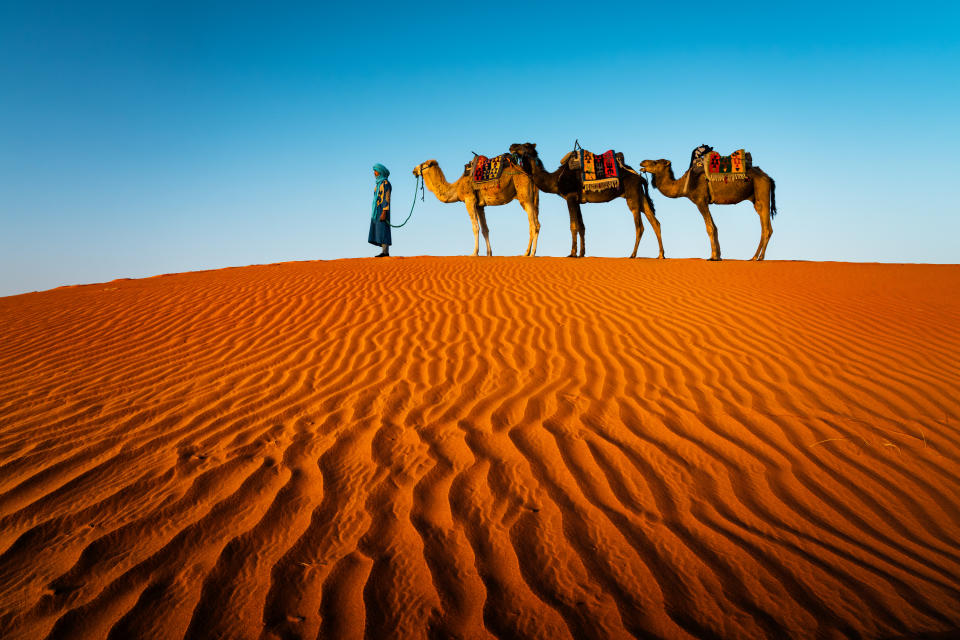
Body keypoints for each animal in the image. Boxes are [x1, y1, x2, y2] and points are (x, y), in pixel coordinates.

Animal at [412, 155, 540, 255]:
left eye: (424, 164)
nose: (413, 170)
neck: (457, 186)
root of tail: (530, 176)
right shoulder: (479, 206)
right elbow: (485, 229)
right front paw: (489, 253)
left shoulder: (469, 199)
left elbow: (475, 227)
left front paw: (474, 253)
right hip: (530, 198)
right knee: (537, 224)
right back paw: (530, 252)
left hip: (524, 195)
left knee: (532, 225)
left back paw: (529, 253)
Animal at [510, 142, 668, 258]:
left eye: (524, 146)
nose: (512, 146)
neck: (555, 179)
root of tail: (640, 177)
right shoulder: (578, 201)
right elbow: (582, 226)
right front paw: (582, 253)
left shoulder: (570, 197)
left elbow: (573, 225)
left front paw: (572, 253)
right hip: (641, 197)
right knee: (655, 222)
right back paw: (661, 255)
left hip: (632, 197)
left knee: (640, 226)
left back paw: (633, 255)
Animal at [640, 155, 776, 260]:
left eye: (655, 162)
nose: (642, 162)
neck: (684, 185)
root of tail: (768, 177)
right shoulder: (704, 202)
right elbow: (714, 227)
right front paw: (718, 256)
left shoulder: (701, 201)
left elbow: (709, 227)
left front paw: (713, 256)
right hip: (756, 199)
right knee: (764, 224)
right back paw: (754, 257)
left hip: (762, 192)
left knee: (767, 228)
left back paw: (760, 257)